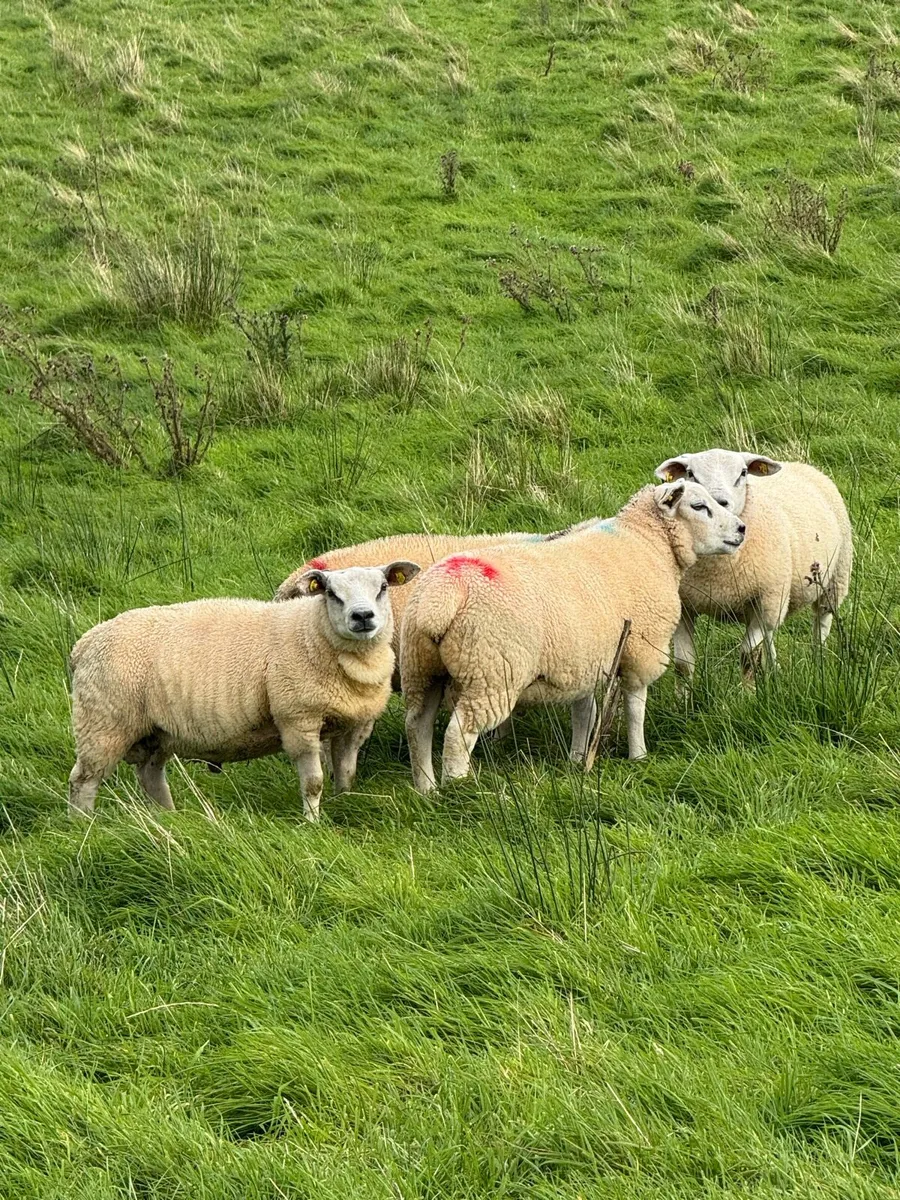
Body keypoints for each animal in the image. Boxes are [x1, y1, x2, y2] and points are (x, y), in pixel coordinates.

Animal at [68, 562, 419, 821]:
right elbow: (313, 782)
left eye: (383, 587)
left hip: (155, 732)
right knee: (83, 780)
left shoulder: (354, 723)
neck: (313, 632)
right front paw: (312, 822)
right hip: (103, 723)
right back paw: (83, 826)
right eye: (332, 593)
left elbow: (347, 774)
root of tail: (84, 643)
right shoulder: (298, 719)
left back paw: (170, 818)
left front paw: (345, 804)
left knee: (151, 776)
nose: (362, 617)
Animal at [400, 481, 746, 793]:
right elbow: (635, 708)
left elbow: (585, 713)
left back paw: (427, 789)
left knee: (417, 727)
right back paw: (460, 789)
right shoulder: (639, 651)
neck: (647, 543)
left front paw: (578, 760)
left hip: (421, 669)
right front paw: (639, 756)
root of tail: (440, 598)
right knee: (458, 734)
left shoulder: (583, 659)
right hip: (490, 672)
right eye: (698, 506)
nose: (742, 529)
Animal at [654, 450, 852, 683]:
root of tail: (798, 464)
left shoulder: (763, 600)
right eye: (691, 473)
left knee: (821, 622)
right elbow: (683, 665)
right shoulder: (683, 607)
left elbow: (748, 658)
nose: (719, 502)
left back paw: (817, 663)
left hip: (834, 578)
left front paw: (747, 692)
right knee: (770, 633)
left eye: (743, 473)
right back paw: (775, 668)